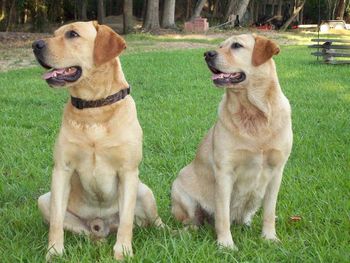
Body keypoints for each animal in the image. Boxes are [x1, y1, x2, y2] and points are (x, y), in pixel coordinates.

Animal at [32, 21, 163, 260]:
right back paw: (97, 241)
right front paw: (54, 252)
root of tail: (103, 226)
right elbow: (56, 222)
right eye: (55, 33)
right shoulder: (62, 170)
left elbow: (126, 221)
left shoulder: (128, 171)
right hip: (44, 200)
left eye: (72, 34)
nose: (35, 44)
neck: (94, 109)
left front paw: (123, 252)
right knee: (86, 232)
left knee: (150, 221)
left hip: (145, 191)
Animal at [171, 34, 292, 251]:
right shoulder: (224, 172)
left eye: (236, 45)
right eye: (220, 46)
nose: (207, 54)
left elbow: (269, 212)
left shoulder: (277, 171)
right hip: (180, 188)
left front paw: (269, 238)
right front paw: (226, 244)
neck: (253, 113)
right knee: (193, 221)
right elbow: (222, 215)